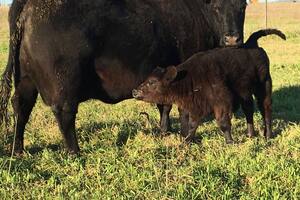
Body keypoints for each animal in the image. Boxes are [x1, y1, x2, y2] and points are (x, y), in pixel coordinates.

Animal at [0, 0, 247, 155]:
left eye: (242, 6)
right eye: (216, 7)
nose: (232, 39)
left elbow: (164, 104)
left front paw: (165, 130)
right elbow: (180, 106)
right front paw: (185, 135)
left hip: (26, 80)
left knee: (21, 108)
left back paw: (17, 150)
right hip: (64, 83)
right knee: (64, 114)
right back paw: (74, 152)